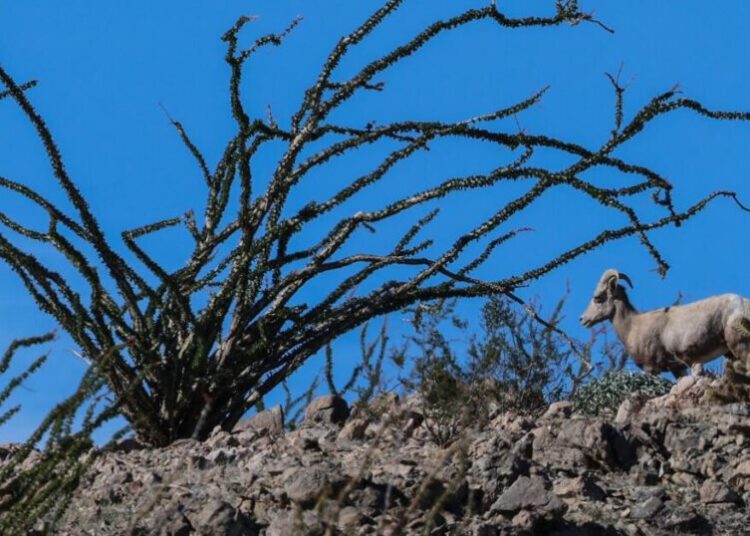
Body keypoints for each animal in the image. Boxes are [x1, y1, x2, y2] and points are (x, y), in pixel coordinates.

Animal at [579, 268, 750, 378]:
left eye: (598, 298)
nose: (582, 319)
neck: (632, 326)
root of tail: (744, 303)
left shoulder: (650, 369)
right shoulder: (677, 369)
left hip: (739, 345)